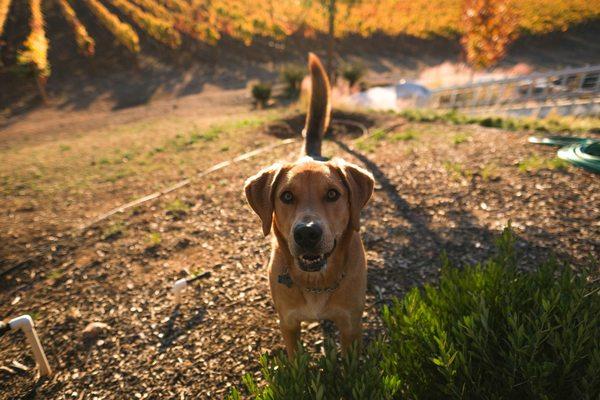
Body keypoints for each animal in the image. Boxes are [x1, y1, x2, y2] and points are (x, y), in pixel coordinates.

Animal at [244, 53, 376, 356]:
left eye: (332, 194)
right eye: (286, 197)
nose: (307, 233)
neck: (317, 282)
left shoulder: (351, 326)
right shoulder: (289, 324)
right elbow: (296, 360)